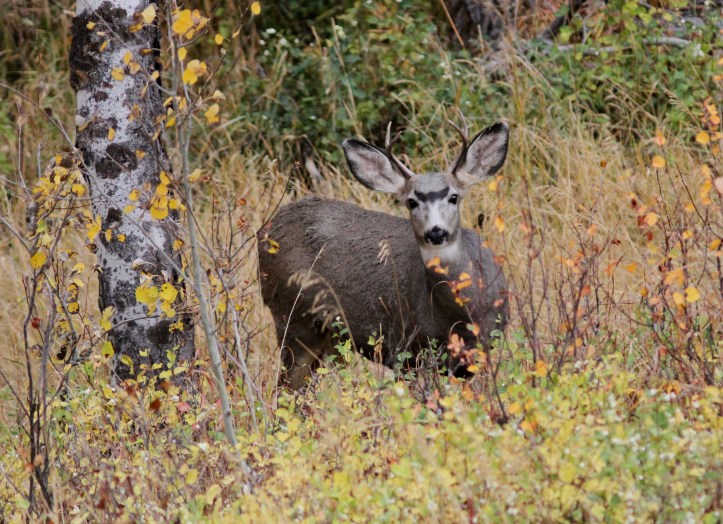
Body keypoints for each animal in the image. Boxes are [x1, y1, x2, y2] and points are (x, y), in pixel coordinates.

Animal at [258, 117, 510, 389]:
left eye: (454, 197)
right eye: (411, 201)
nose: (436, 232)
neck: (462, 314)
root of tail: (267, 230)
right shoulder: (408, 348)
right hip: (292, 317)